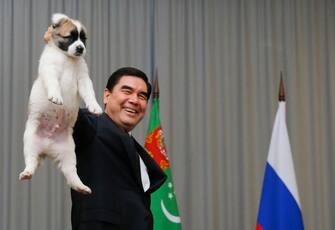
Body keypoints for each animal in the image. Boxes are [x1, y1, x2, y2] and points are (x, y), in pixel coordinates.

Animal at [18, 13, 101, 194]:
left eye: (83, 39)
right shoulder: (50, 70)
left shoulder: (83, 78)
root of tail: (47, 149)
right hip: (30, 142)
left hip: (69, 153)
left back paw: (81, 186)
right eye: (70, 37)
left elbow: (89, 93)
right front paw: (56, 96)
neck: (67, 58)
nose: (80, 48)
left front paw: (95, 106)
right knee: (31, 160)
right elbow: (53, 83)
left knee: (71, 172)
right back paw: (27, 172)